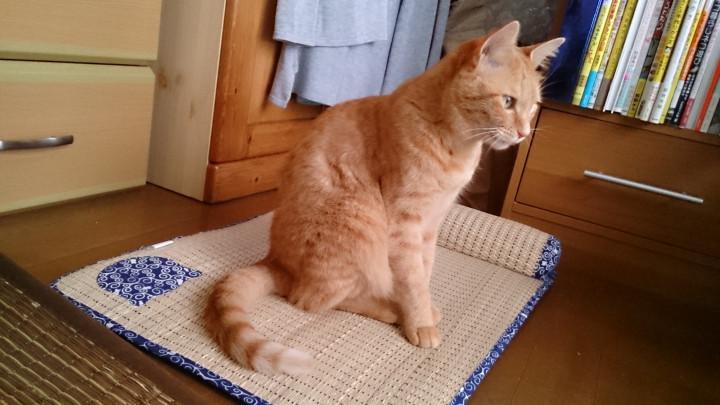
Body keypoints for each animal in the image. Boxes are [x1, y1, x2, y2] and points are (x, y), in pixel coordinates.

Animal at [205, 21, 564, 376]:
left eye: (533, 107)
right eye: (508, 102)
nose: (523, 133)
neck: (456, 143)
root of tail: (274, 260)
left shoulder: (431, 224)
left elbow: (424, 271)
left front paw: (423, 308)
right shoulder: (404, 223)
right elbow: (412, 279)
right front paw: (419, 321)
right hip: (359, 218)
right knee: (310, 299)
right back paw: (388, 308)